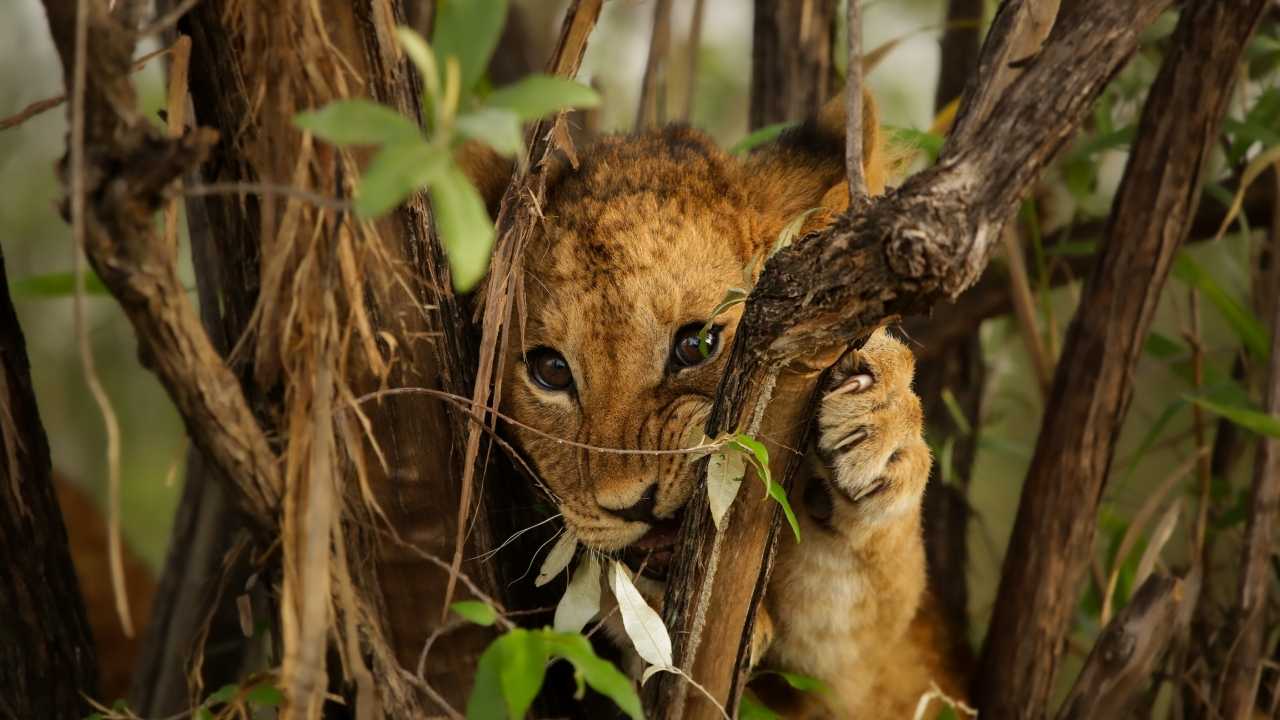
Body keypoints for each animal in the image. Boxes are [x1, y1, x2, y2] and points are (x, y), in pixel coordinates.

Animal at [461, 91, 967, 718]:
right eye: (550, 370)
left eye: (697, 344)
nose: (634, 505)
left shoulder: (870, 674)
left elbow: (867, 597)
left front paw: (878, 429)